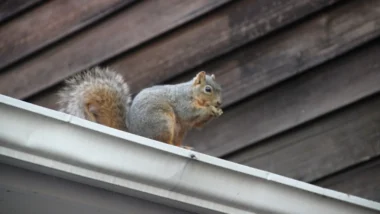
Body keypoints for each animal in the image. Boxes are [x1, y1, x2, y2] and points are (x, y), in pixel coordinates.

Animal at [56, 67, 223, 149]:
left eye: (220, 88)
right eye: (208, 89)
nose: (219, 103)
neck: (192, 93)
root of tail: (135, 133)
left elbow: (198, 123)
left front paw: (217, 112)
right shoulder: (182, 102)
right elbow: (189, 114)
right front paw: (211, 110)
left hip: (177, 131)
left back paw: (183, 147)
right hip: (162, 122)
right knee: (162, 140)